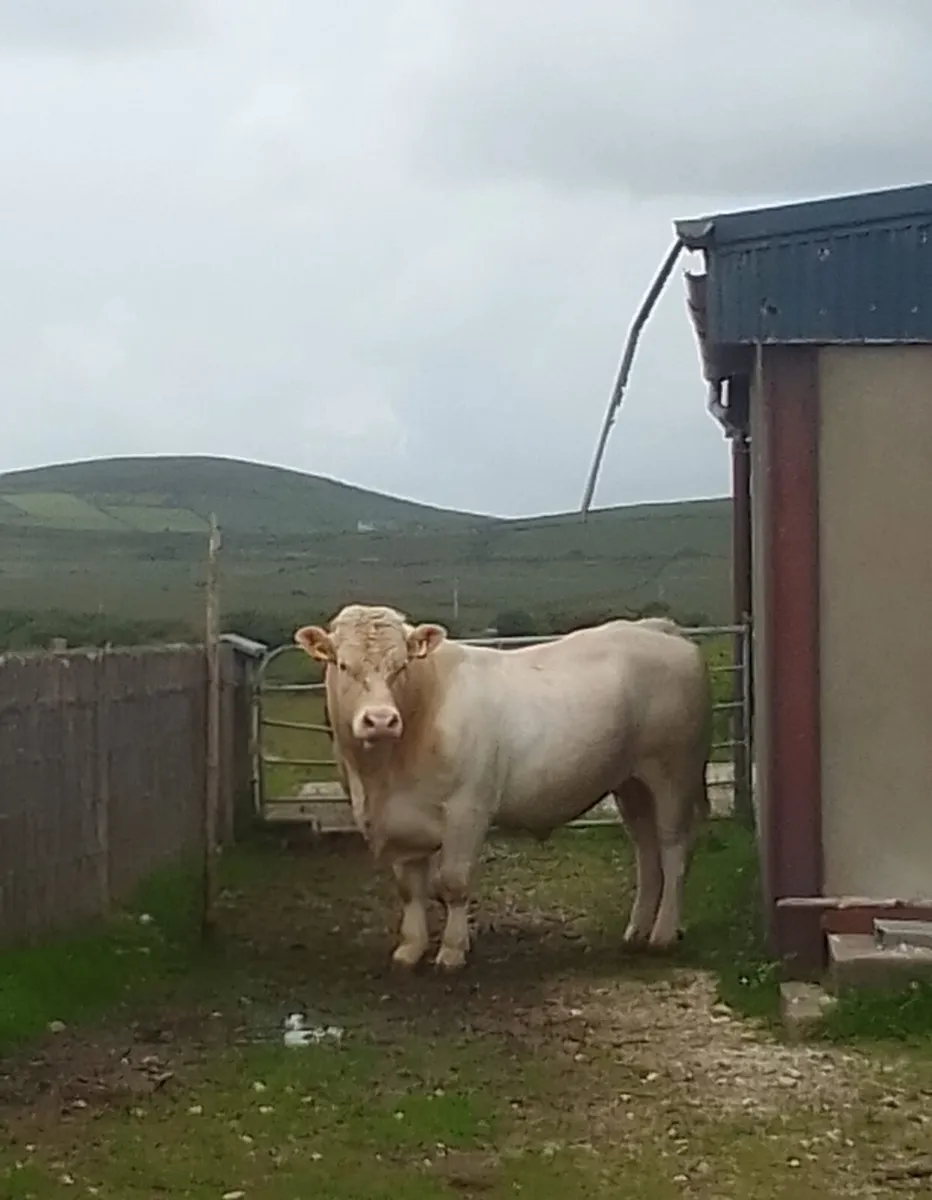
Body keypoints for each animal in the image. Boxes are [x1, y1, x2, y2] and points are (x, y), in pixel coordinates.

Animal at [295, 604, 712, 971]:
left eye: (401, 666)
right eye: (343, 665)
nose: (380, 720)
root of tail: (657, 628)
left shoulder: (468, 809)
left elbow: (453, 883)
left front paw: (451, 952)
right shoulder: (401, 821)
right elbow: (410, 889)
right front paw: (410, 950)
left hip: (673, 773)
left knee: (673, 848)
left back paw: (662, 934)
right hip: (631, 783)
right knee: (647, 849)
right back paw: (637, 930)